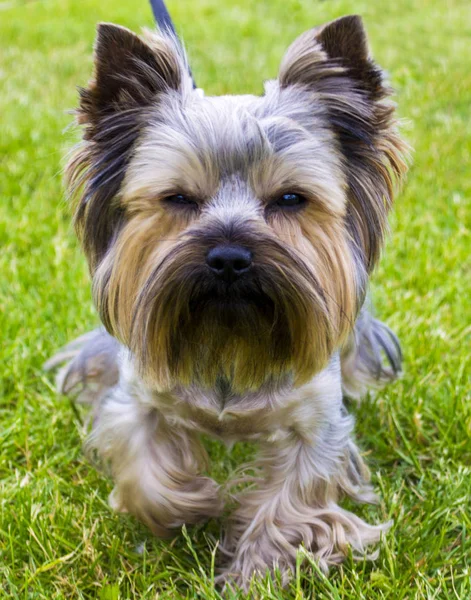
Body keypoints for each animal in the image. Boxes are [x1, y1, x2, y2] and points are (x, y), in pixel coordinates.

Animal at [48, 15, 410, 592]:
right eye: (177, 198)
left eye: (290, 199)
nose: (229, 256)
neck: (229, 331)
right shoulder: (139, 396)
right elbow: (143, 467)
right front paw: (194, 504)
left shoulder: (316, 421)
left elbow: (293, 497)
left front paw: (256, 571)